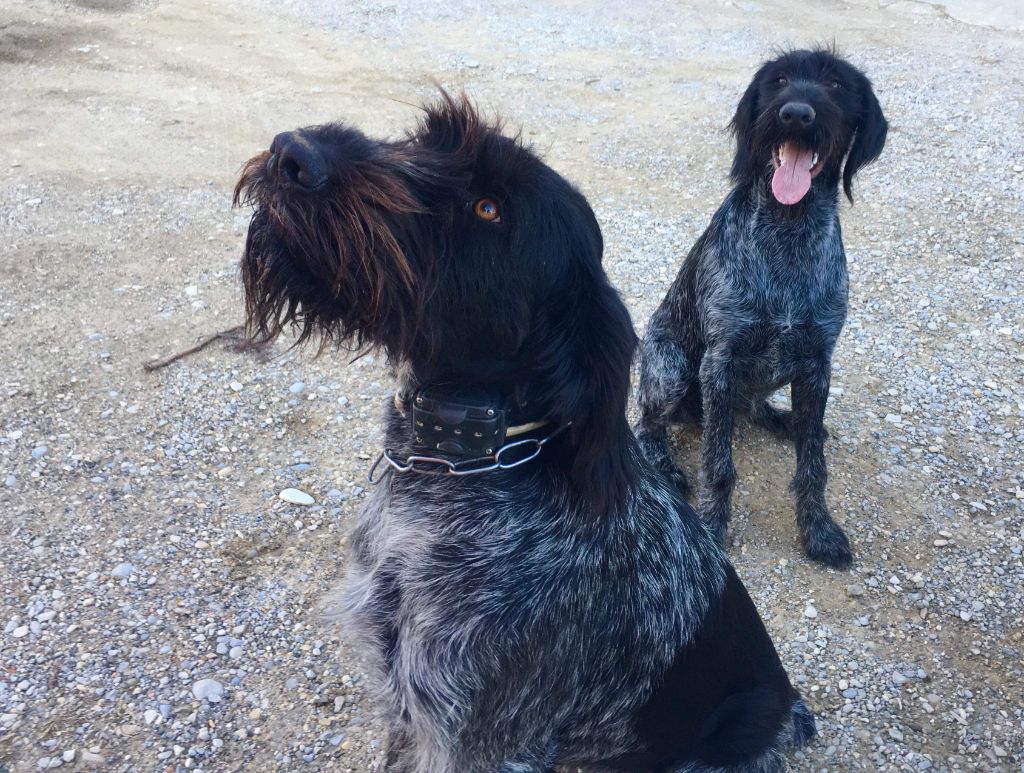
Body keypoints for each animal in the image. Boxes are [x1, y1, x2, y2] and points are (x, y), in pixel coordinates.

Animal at [638, 49, 888, 569]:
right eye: (779, 80)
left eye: (836, 85)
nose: (796, 114)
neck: (789, 231)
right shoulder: (720, 361)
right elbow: (719, 465)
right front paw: (712, 529)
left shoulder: (816, 362)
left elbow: (813, 467)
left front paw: (818, 530)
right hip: (670, 367)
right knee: (647, 425)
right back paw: (664, 466)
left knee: (754, 407)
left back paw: (782, 418)